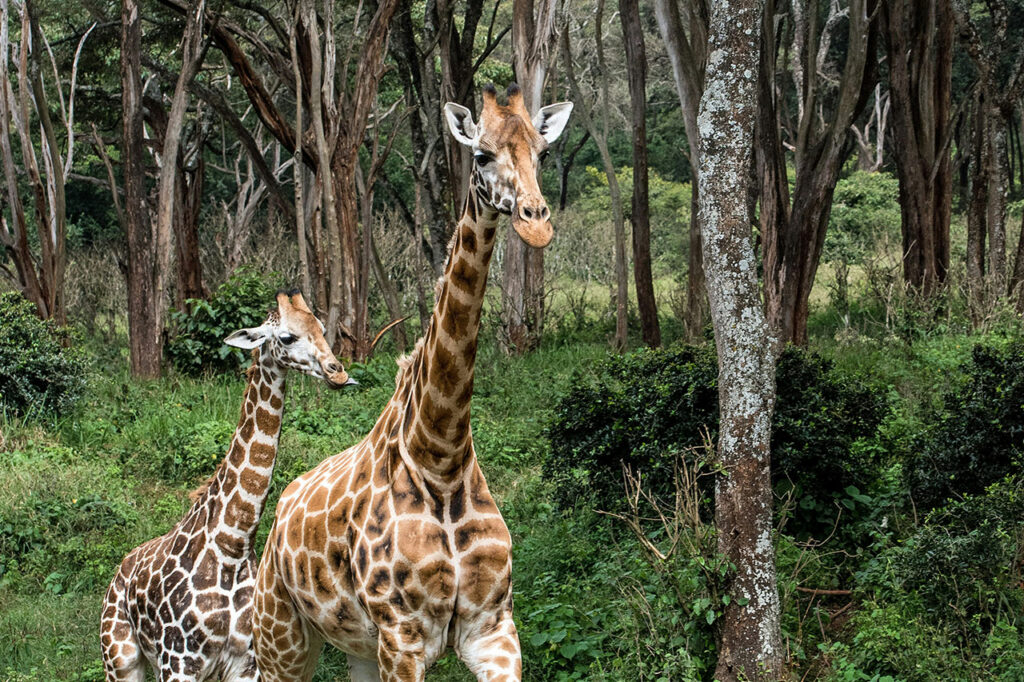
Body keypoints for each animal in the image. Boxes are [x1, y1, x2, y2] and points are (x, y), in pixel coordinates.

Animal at [101, 290, 355, 682]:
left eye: (322, 329)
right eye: (286, 337)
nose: (337, 371)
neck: (231, 545)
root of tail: (120, 569)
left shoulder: (245, 663)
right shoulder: (178, 661)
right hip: (120, 656)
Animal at [251, 84, 572, 682]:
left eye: (542, 153)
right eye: (481, 155)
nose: (536, 221)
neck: (440, 458)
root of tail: (280, 508)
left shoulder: (494, 627)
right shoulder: (402, 636)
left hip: (357, 647)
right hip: (282, 635)